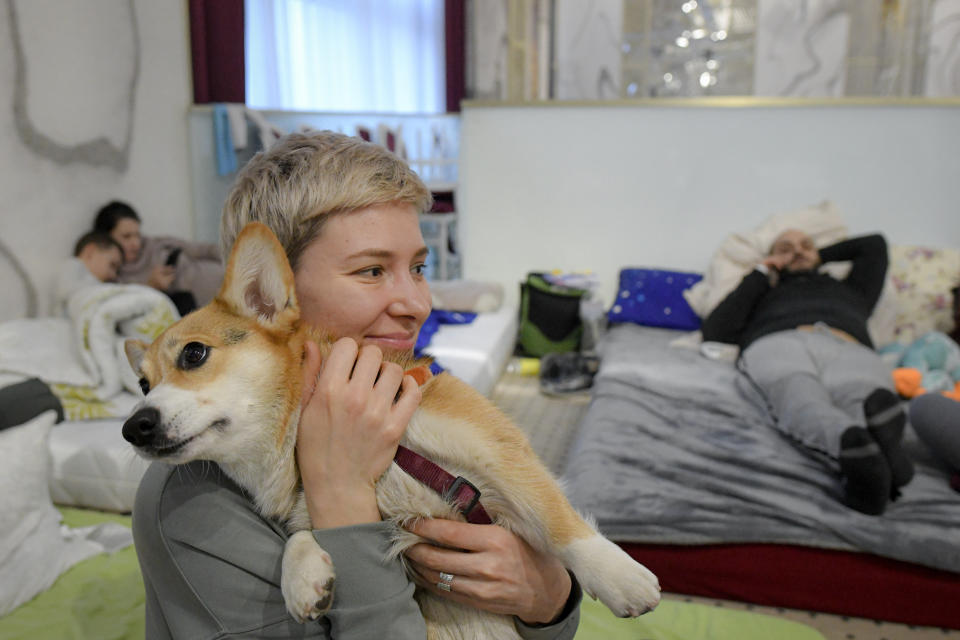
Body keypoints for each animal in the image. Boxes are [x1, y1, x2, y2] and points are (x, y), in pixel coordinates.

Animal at [122, 222, 660, 636]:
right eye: (142, 384)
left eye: (194, 354)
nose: (134, 427)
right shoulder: (327, 507)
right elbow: (305, 537)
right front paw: (303, 580)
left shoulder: (496, 452)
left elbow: (560, 523)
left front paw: (623, 580)